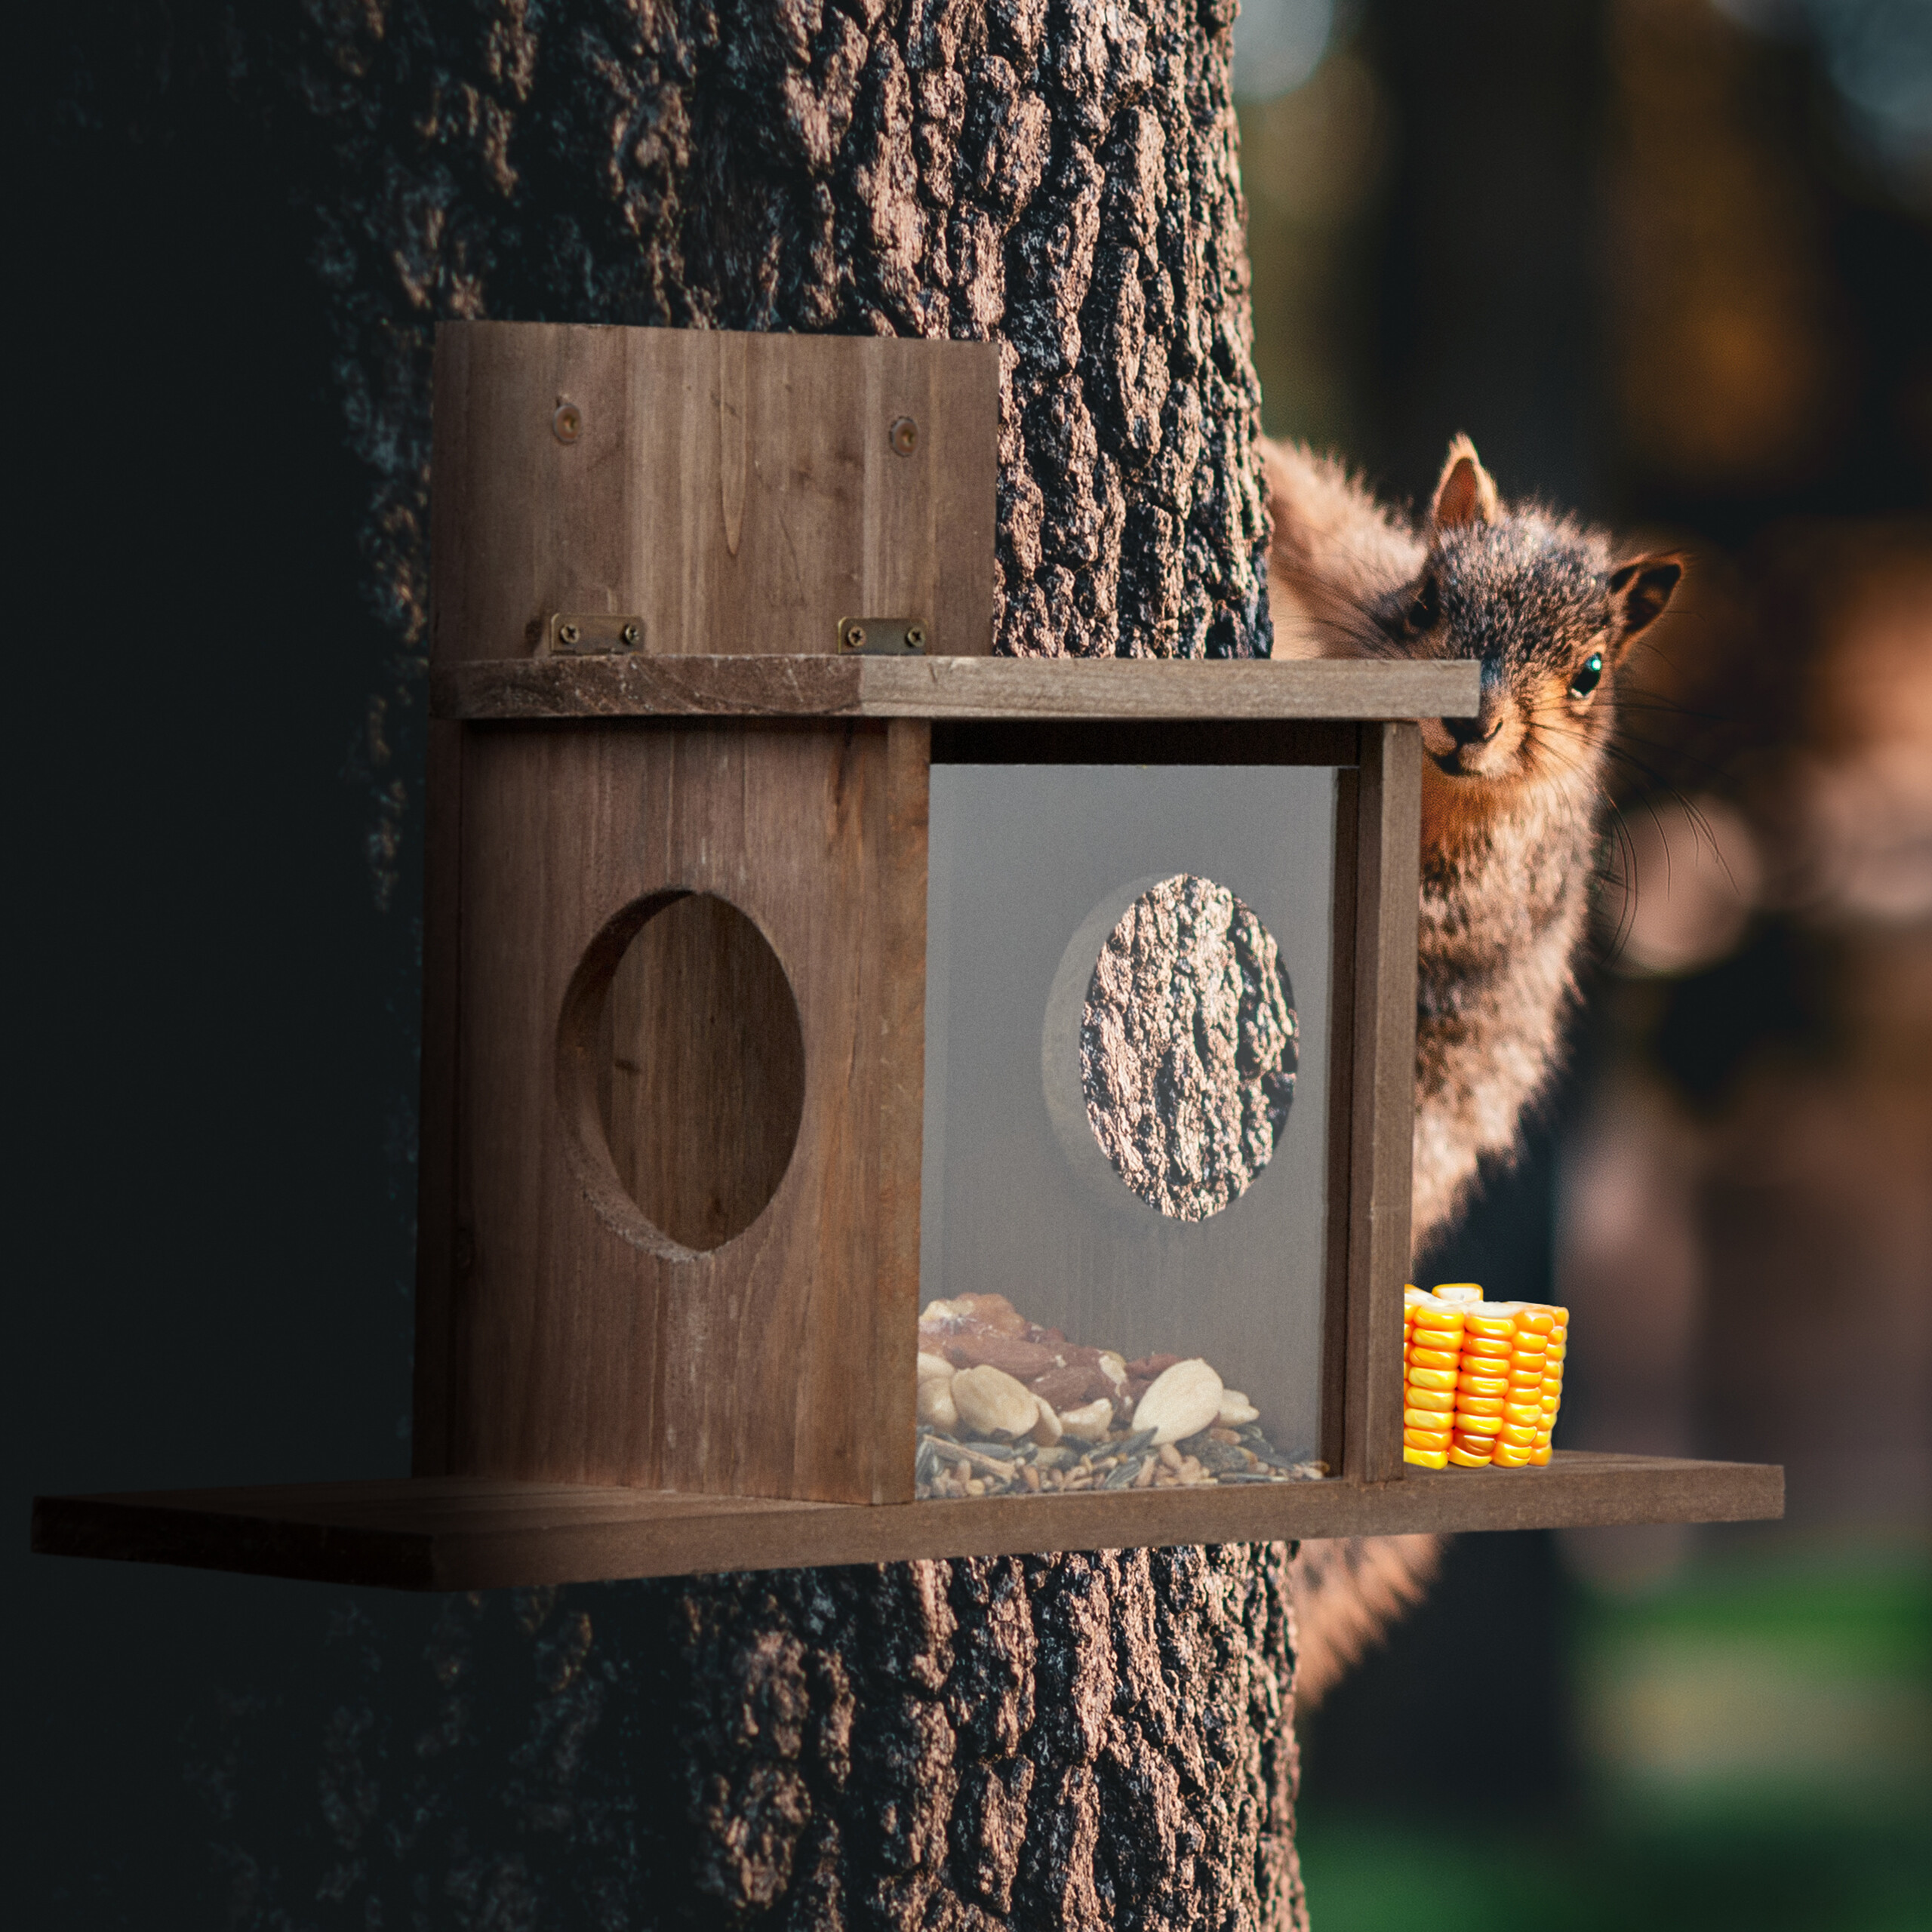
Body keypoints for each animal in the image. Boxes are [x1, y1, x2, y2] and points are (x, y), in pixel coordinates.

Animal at [1263, 434, 1682, 1705]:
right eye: (1430, 596)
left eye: (1591, 671)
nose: (1472, 723)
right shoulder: (1351, 575)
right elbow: (1307, 509)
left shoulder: (1491, 887)